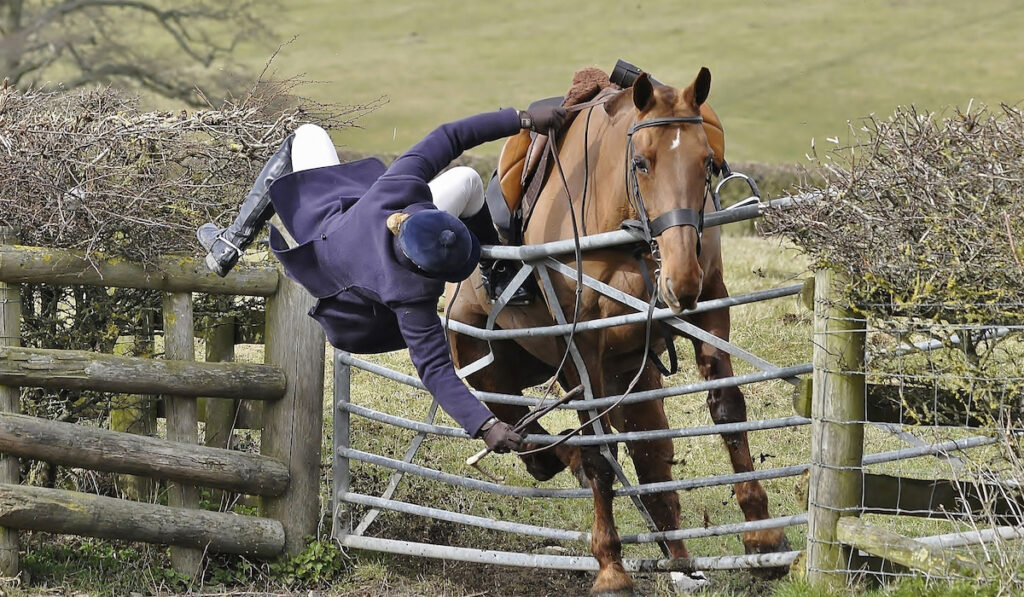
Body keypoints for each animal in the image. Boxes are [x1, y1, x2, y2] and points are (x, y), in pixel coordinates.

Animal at [444, 69, 786, 593]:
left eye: (708, 162)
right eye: (641, 162)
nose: (680, 280)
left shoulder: (709, 307)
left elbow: (728, 411)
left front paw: (763, 539)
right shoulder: (581, 344)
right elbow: (599, 452)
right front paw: (610, 568)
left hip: (633, 371)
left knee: (649, 459)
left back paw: (681, 563)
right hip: (489, 371)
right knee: (541, 445)